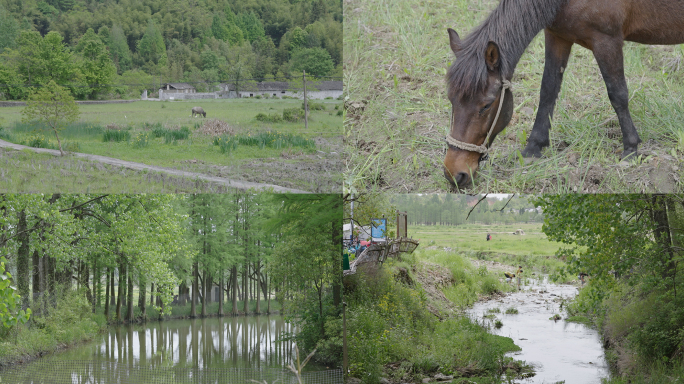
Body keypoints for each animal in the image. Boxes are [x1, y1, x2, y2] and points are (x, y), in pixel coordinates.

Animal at [444, 0, 684, 189]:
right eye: (451, 100)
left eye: (486, 105)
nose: (454, 173)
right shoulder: (557, 36)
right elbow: (548, 91)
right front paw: (533, 148)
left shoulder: (607, 41)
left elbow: (618, 94)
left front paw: (631, 149)